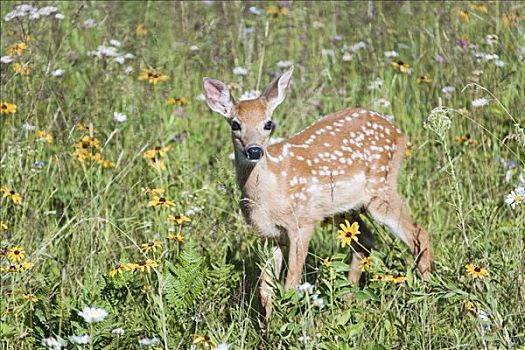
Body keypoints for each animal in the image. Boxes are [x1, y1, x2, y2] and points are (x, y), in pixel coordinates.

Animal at [202, 67, 430, 318]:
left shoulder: (303, 222)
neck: (271, 192)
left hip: (381, 189)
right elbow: (266, 290)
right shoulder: (269, 235)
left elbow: (290, 284)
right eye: (235, 124)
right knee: (365, 242)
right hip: (344, 208)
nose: (254, 151)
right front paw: (268, 327)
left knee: (419, 234)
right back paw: (347, 302)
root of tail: (399, 133)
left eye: (268, 124)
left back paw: (428, 295)